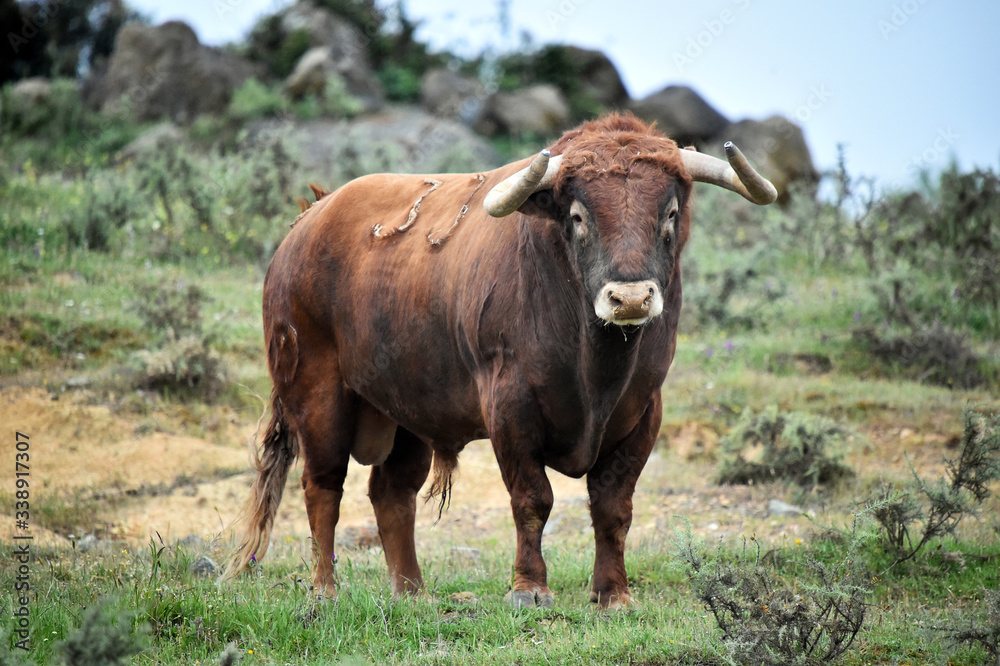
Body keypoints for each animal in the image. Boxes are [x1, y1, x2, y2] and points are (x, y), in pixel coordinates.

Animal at [223, 114, 776, 608]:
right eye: (579, 216)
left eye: (670, 214)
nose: (631, 298)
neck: (595, 369)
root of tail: (305, 224)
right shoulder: (510, 408)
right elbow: (533, 500)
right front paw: (529, 590)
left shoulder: (643, 413)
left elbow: (613, 507)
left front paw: (613, 594)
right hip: (317, 393)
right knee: (322, 486)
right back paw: (325, 591)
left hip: (407, 410)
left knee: (391, 492)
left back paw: (412, 594)